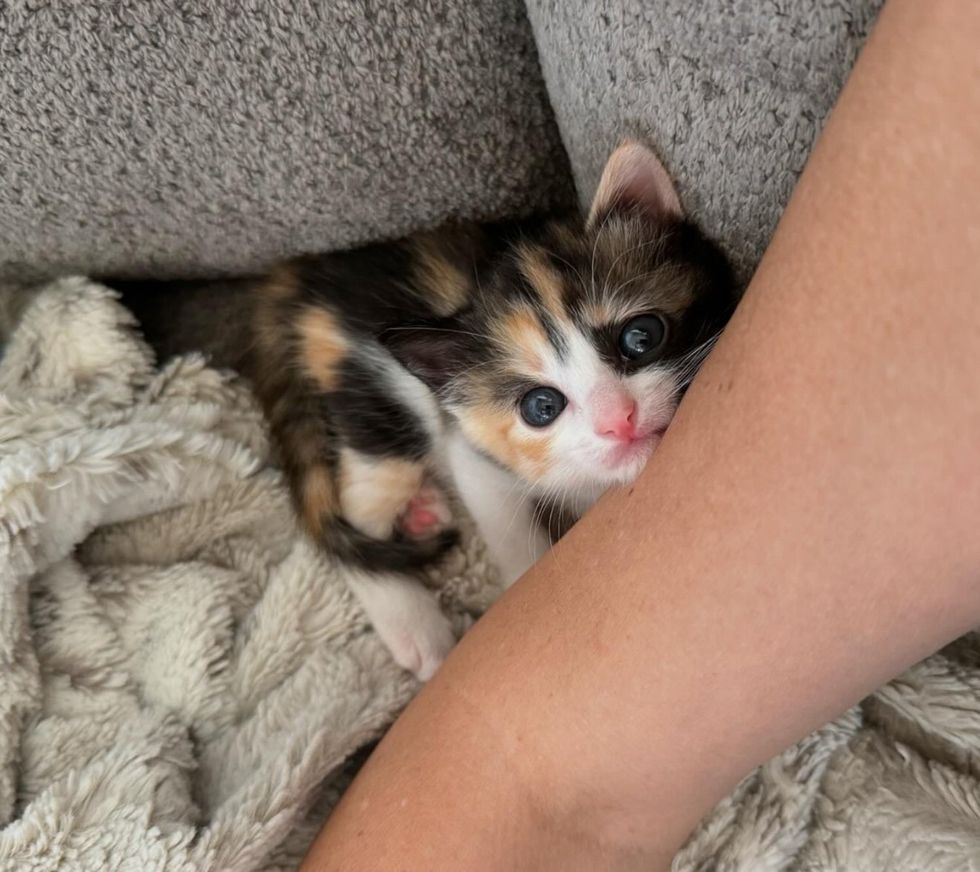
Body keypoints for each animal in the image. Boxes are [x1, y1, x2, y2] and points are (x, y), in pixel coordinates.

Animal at [115, 141, 732, 680]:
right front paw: (526, 584)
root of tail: (290, 283)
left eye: (641, 336)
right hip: (381, 402)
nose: (618, 420)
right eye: (541, 406)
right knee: (355, 512)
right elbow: (513, 536)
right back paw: (411, 620)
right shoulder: (474, 452)